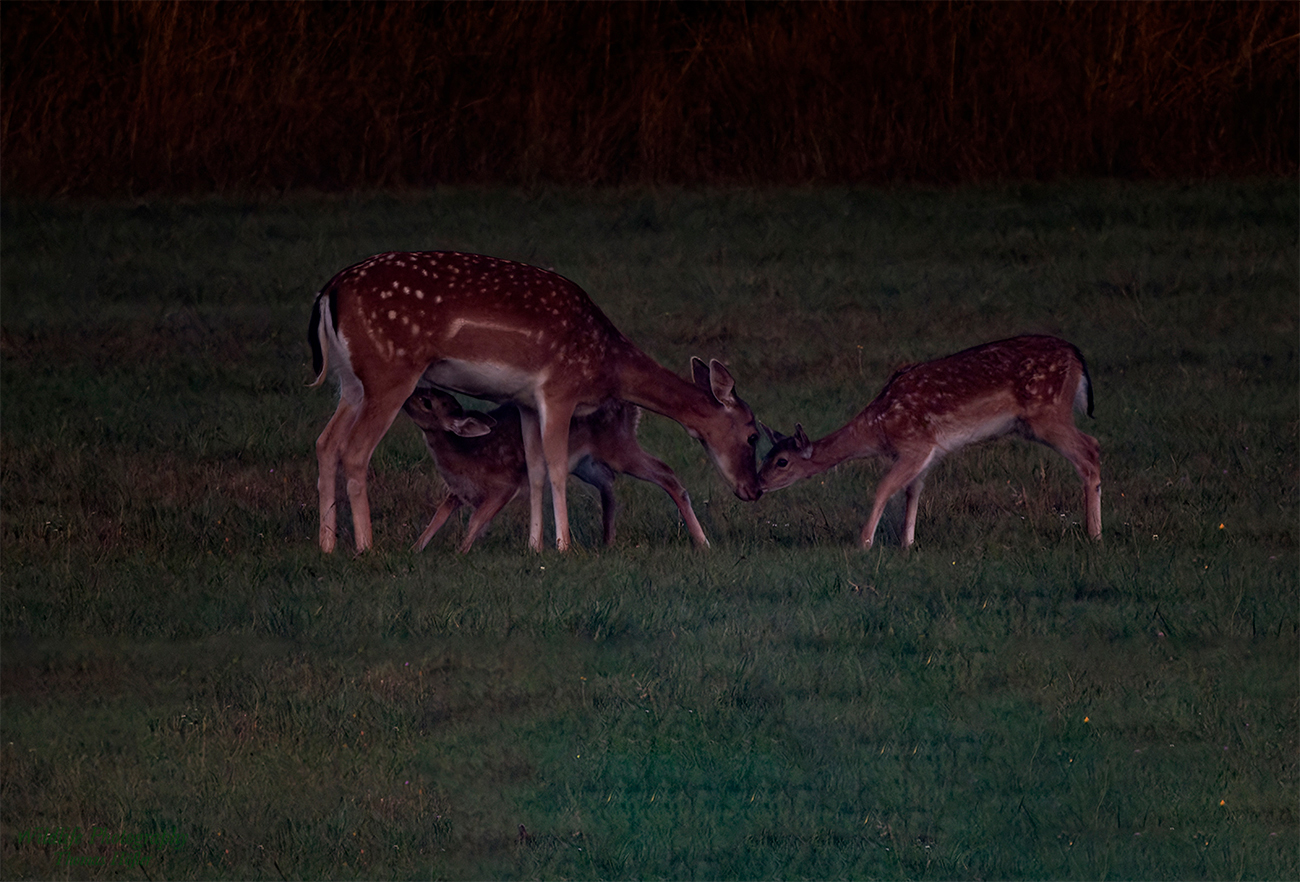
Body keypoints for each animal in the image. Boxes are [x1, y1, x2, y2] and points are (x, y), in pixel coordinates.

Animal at [403, 387, 712, 551]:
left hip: (619, 445)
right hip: (585, 462)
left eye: (427, 401)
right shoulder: (457, 492)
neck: (464, 454)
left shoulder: (502, 485)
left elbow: (475, 520)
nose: (407, 395)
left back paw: (701, 541)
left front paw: (461, 550)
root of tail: (630, 405)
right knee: (608, 480)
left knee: (665, 472)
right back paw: (607, 539)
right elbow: (437, 518)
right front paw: (416, 548)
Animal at [759, 335, 1102, 548]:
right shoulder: (928, 454)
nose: (758, 484)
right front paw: (907, 544)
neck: (878, 428)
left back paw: (1094, 534)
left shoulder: (915, 445)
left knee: (1090, 448)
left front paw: (864, 543)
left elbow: (884, 488)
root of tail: (1077, 356)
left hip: (1048, 413)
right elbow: (913, 492)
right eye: (764, 456)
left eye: (782, 461)